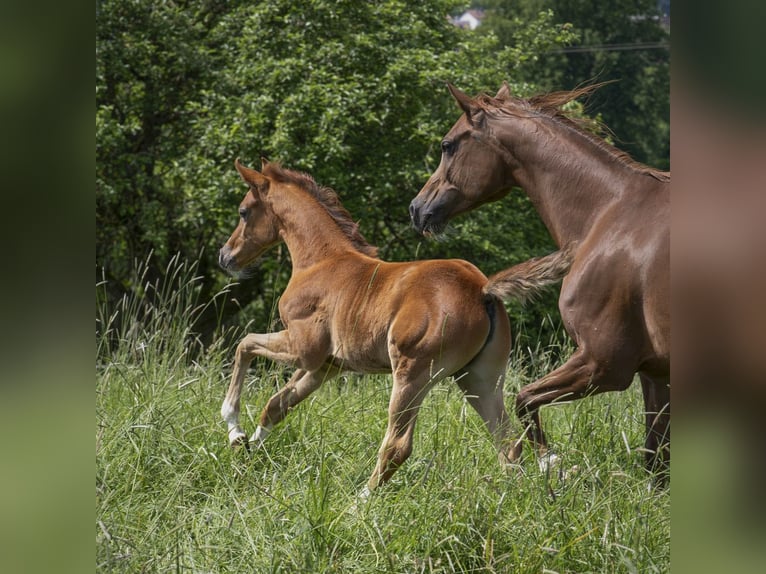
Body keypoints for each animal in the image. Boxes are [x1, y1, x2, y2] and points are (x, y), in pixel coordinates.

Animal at [219, 160, 572, 498]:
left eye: (243, 211)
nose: (225, 256)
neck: (322, 262)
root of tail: (482, 289)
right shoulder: (326, 367)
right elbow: (276, 405)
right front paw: (246, 450)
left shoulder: (304, 349)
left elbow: (244, 344)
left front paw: (233, 427)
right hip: (479, 378)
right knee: (507, 442)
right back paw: (512, 500)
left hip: (412, 374)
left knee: (398, 446)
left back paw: (359, 502)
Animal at [408, 82, 672, 476]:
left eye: (448, 144)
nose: (416, 208)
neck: (608, 215)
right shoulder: (653, 373)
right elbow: (657, 464)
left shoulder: (604, 364)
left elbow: (524, 398)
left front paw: (550, 462)